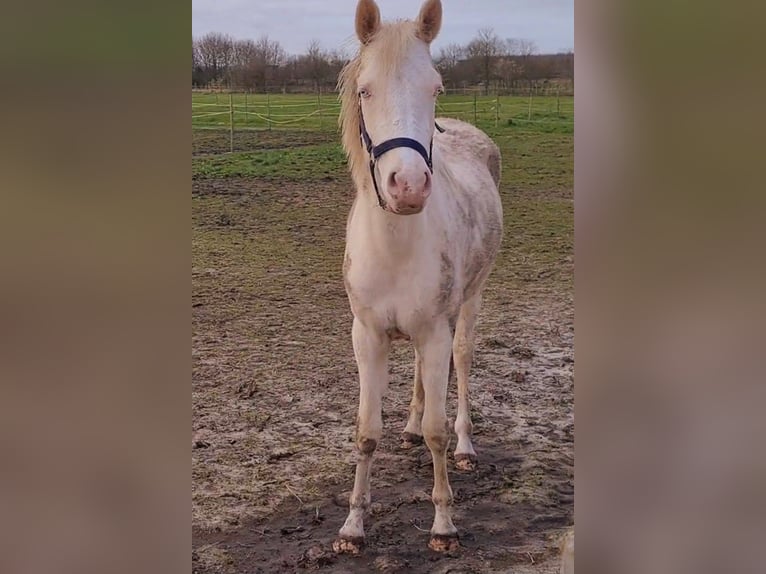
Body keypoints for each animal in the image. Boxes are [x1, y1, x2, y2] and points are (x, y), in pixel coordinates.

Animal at [334, 0, 504, 556]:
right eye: (365, 90)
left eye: (435, 88)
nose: (407, 185)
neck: (396, 244)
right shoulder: (367, 335)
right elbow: (366, 430)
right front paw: (353, 526)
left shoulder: (434, 331)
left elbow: (437, 433)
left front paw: (444, 524)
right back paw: (406, 427)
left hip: (470, 301)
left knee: (463, 361)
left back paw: (468, 445)